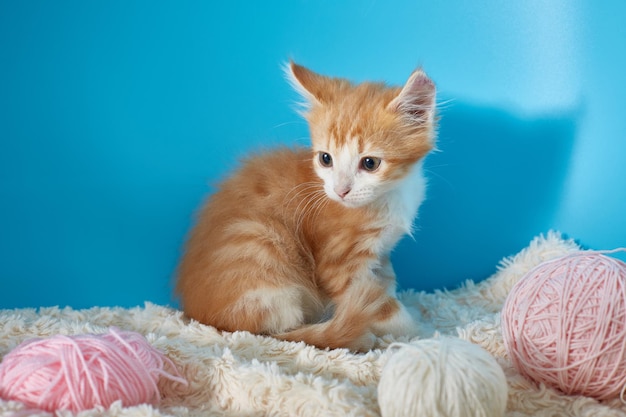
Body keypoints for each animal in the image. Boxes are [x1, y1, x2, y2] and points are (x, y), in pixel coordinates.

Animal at [176, 60, 434, 350]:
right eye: (326, 159)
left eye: (370, 163)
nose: (340, 191)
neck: (391, 194)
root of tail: (199, 315)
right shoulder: (339, 263)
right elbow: (381, 305)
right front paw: (420, 331)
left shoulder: (382, 253)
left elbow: (386, 283)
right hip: (259, 245)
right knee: (276, 332)